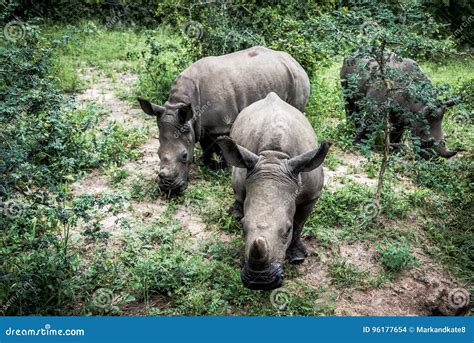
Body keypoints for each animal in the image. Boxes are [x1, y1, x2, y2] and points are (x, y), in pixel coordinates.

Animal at [137, 45, 310, 194]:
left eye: (185, 155)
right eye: (157, 153)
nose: (168, 189)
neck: (181, 103)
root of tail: (294, 61)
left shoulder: (221, 125)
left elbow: (220, 146)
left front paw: (221, 168)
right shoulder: (200, 124)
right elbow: (204, 143)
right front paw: (206, 163)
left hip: (298, 80)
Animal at [218, 93, 330, 290]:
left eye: (287, 230)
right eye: (243, 227)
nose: (260, 281)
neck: (274, 158)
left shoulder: (311, 195)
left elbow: (300, 223)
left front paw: (297, 257)